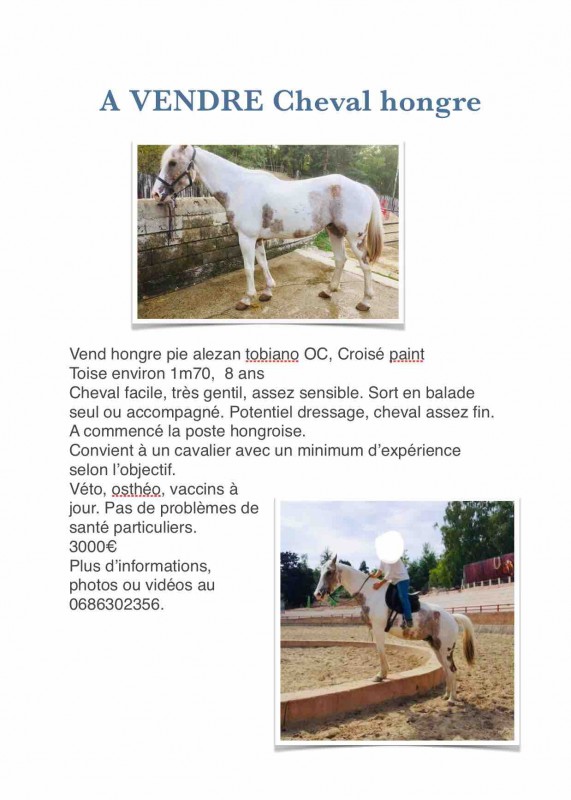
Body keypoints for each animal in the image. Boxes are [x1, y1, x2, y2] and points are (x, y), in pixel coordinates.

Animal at [151, 145, 384, 312]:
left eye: (172, 162)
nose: (156, 194)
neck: (239, 187)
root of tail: (361, 187)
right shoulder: (257, 239)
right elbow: (262, 263)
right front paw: (268, 292)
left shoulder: (245, 238)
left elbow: (248, 268)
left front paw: (246, 299)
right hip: (334, 231)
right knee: (340, 260)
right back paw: (328, 291)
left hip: (354, 236)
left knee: (365, 265)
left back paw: (365, 302)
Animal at [314, 555, 476, 704]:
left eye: (329, 572)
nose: (317, 594)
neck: (371, 594)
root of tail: (452, 617)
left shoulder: (378, 629)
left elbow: (380, 651)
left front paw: (381, 675)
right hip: (437, 647)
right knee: (446, 670)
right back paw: (446, 696)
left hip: (445, 649)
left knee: (452, 670)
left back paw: (452, 699)